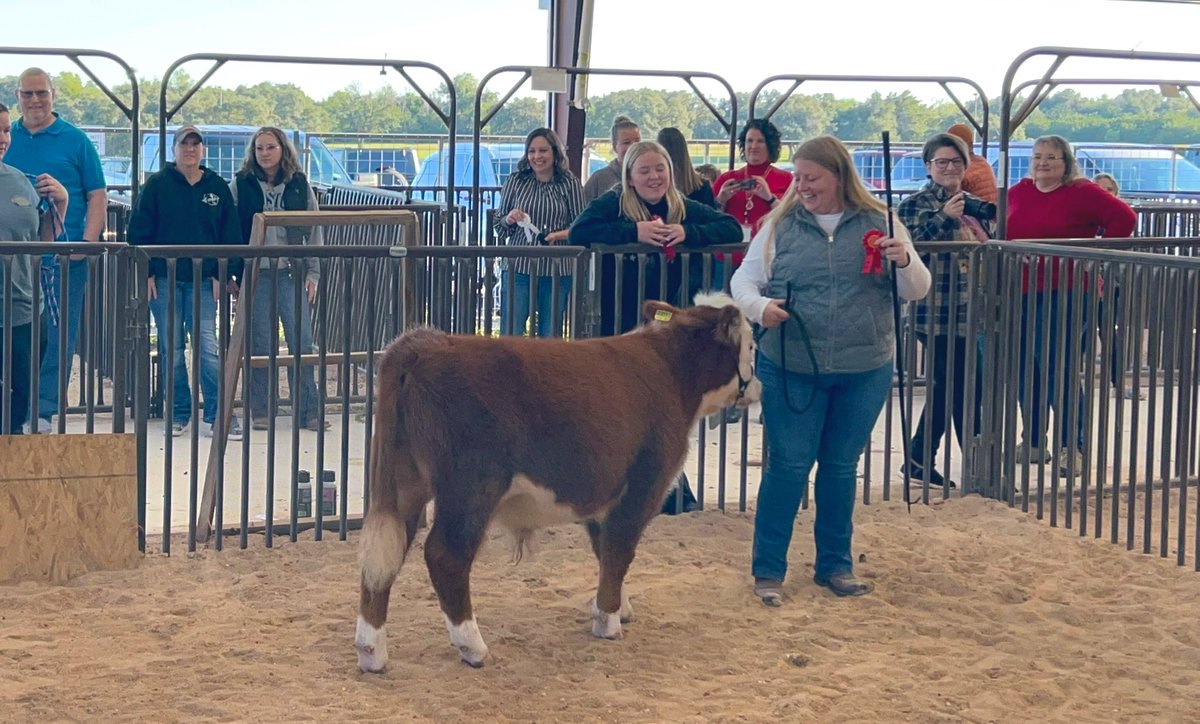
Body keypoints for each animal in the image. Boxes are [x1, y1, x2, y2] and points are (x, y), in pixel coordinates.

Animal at [355, 293, 760, 670]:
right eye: (753, 346)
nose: (758, 387)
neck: (670, 371)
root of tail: (427, 343)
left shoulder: (606, 493)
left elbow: (605, 552)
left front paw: (616, 606)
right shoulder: (644, 482)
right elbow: (620, 549)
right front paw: (609, 622)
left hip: (402, 485)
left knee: (383, 555)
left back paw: (371, 651)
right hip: (470, 487)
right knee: (445, 555)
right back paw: (473, 647)